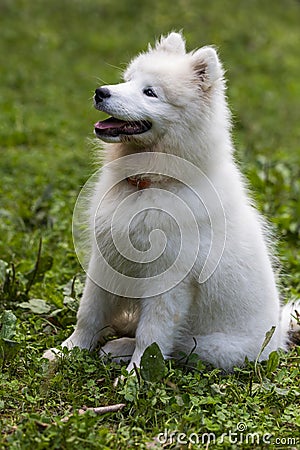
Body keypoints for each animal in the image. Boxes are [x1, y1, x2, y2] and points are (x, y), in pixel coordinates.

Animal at [43, 30, 298, 370]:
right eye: (127, 80)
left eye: (150, 92)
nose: (100, 92)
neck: (148, 182)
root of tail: (278, 336)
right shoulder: (105, 257)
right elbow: (89, 312)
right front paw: (67, 351)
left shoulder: (170, 282)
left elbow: (152, 336)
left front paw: (135, 374)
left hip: (208, 347)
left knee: (176, 347)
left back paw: (120, 348)